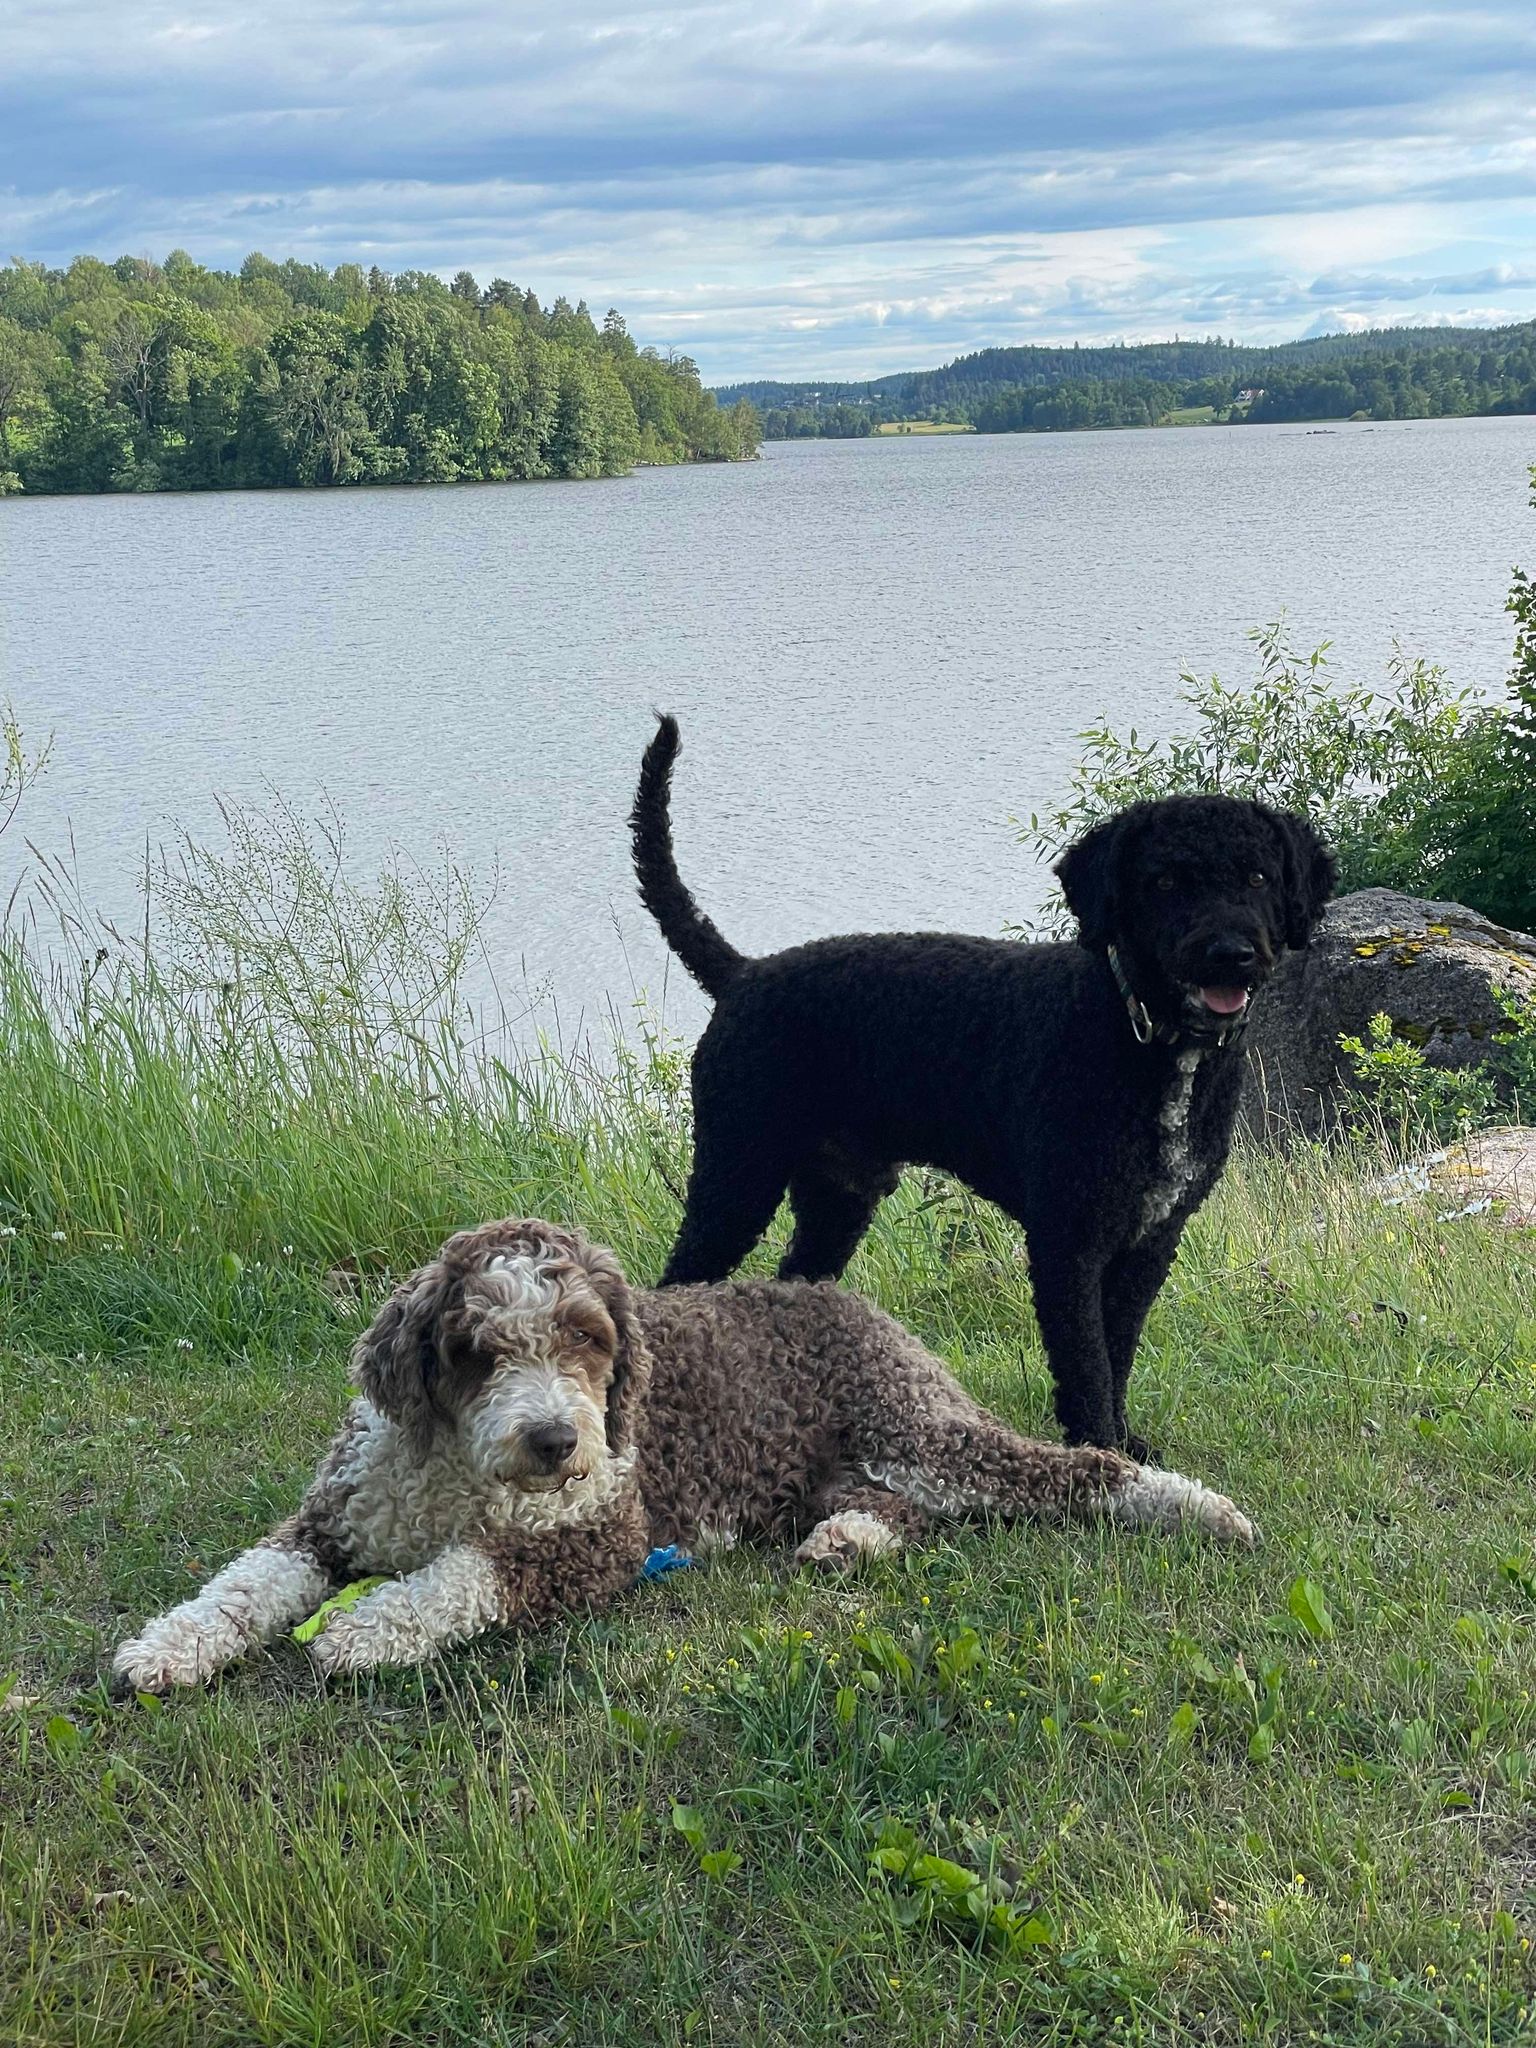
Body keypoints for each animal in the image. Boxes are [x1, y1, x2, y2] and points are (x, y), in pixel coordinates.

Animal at [112, 1218, 1253, 1689]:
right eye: (477, 1349)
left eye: (588, 1337)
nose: (557, 1440)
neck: (458, 1474)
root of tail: (852, 1298)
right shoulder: (331, 1517)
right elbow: (243, 1584)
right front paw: (167, 1648)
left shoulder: (593, 1540)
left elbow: (463, 1577)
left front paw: (367, 1630)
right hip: (842, 1466)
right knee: (907, 1510)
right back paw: (847, 1540)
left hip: (919, 1429)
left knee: (1065, 1471)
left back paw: (1197, 1505)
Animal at [631, 716, 1335, 1460]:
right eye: (1166, 880)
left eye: (1258, 875)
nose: (1231, 953)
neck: (1136, 1030)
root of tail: (743, 973)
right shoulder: (1070, 1237)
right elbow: (1086, 1360)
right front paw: (1100, 1449)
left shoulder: (1151, 1237)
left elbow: (1118, 1348)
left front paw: (1123, 1441)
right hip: (737, 1173)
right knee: (677, 1285)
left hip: (836, 1196)